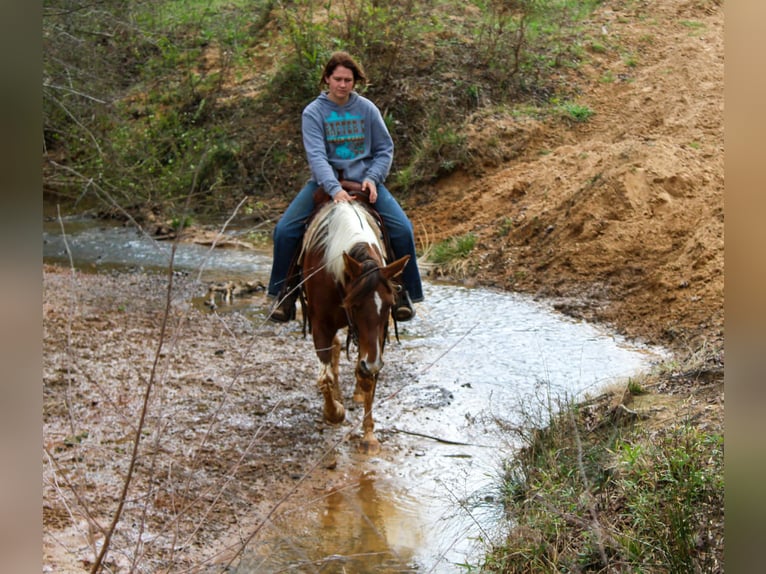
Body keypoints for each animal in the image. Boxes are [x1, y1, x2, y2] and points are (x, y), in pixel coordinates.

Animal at [300, 200, 410, 454]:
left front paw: (369, 436)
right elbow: (326, 377)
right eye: (356, 304)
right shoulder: (320, 324)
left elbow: (369, 375)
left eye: (389, 304)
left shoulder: (378, 334)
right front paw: (335, 412)